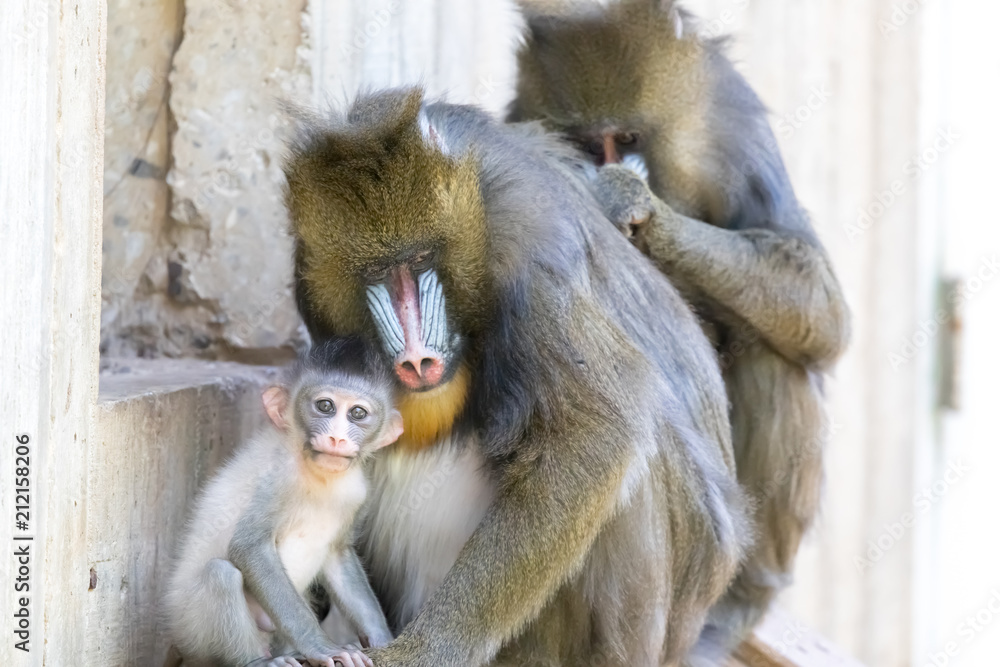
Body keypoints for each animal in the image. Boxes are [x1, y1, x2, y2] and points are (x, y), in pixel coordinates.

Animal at [164, 339, 401, 667]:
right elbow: (248, 547)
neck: (320, 477)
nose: (337, 439)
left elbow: (339, 555)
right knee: (220, 574)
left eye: (357, 413)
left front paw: (381, 638)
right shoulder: (277, 476)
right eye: (325, 406)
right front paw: (322, 647)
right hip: (191, 630)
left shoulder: (359, 493)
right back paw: (258, 661)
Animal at [283, 87, 751, 667]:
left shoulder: (528, 258)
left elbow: (596, 434)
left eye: (421, 257)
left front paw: (426, 651)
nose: (417, 359)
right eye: (374, 273)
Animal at [507, 0, 851, 661]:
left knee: (775, 357)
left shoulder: (735, 139)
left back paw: (741, 601)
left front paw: (637, 207)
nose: (611, 165)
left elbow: (825, 314)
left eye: (628, 139)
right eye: (588, 140)